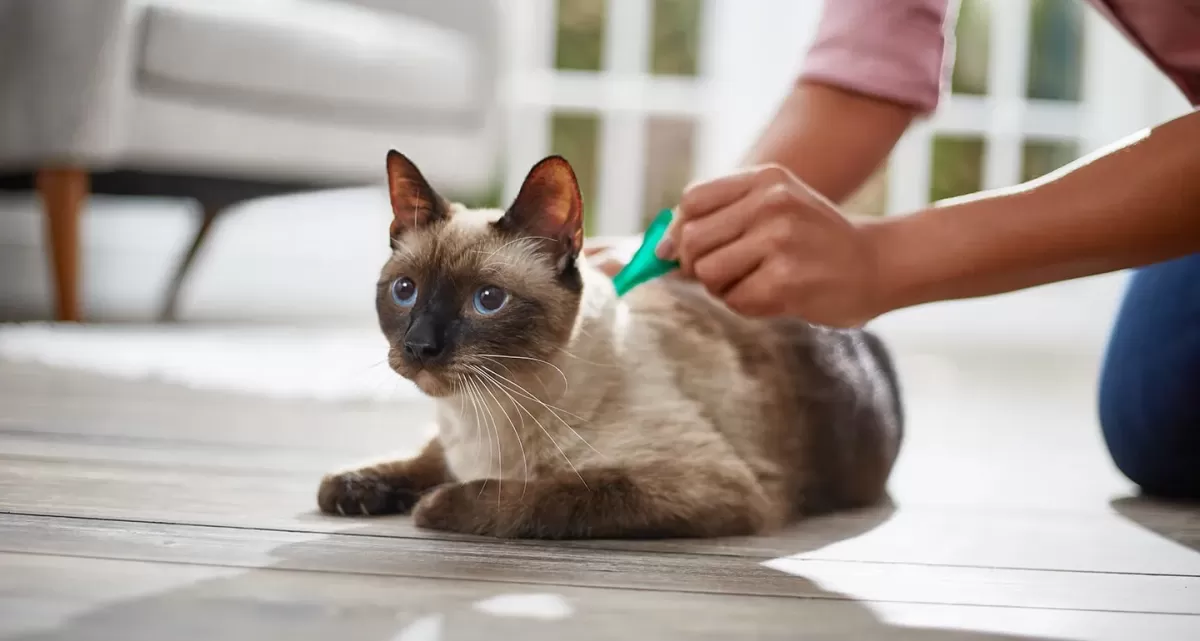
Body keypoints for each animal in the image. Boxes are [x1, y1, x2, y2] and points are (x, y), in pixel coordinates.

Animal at [314, 153, 902, 540]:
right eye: (404, 291)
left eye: (488, 300)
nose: (420, 346)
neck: (484, 413)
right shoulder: (450, 444)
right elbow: (420, 458)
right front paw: (352, 487)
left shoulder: (704, 485)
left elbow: (548, 494)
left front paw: (434, 506)